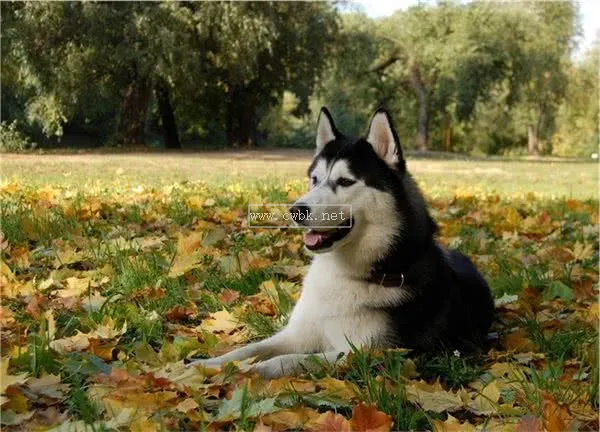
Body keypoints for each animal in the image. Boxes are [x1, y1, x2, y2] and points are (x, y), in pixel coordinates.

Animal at [190, 108, 494, 378]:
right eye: (314, 179)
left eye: (346, 181)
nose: (295, 210)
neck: (346, 274)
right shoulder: (297, 334)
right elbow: (248, 349)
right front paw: (205, 364)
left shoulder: (371, 352)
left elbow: (297, 360)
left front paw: (259, 369)